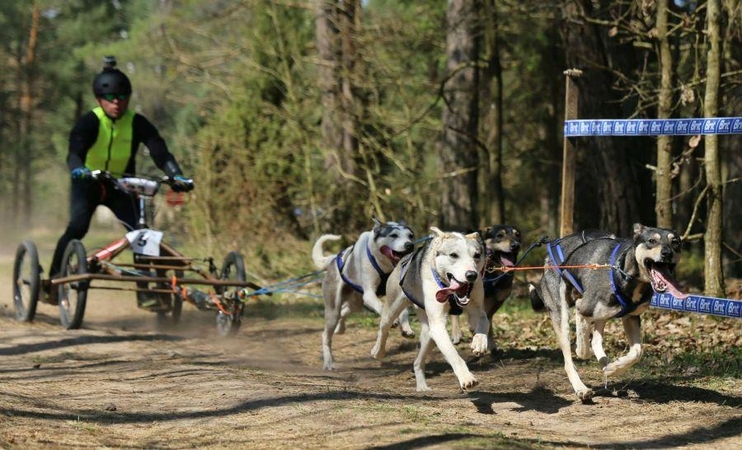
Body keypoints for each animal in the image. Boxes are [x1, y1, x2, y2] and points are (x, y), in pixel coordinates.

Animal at [312, 217, 418, 370]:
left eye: (410, 236)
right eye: (393, 235)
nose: (409, 245)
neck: (386, 266)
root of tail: (333, 260)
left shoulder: (397, 293)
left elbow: (403, 311)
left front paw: (406, 328)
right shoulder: (369, 294)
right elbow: (381, 307)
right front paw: (394, 322)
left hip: (355, 303)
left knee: (344, 311)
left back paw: (340, 327)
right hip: (333, 309)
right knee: (326, 335)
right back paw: (328, 362)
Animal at [370, 227, 488, 392]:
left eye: (477, 255)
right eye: (453, 255)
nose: (471, 275)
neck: (449, 291)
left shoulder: (475, 309)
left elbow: (484, 320)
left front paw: (479, 342)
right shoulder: (438, 325)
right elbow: (453, 354)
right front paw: (466, 377)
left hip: (429, 335)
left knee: (417, 362)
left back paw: (422, 386)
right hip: (393, 307)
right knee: (384, 328)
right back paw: (378, 351)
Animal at [528, 223, 684, 402]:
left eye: (675, 242)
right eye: (652, 241)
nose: (667, 253)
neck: (624, 272)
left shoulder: (631, 317)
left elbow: (637, 352)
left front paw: (614, 367)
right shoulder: (583, 307)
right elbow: (582, 347)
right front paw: (582, 351)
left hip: (602, 315)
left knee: (596, 341)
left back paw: (606, 365)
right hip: (562, 314)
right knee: (569, 359)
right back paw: (582, 388)